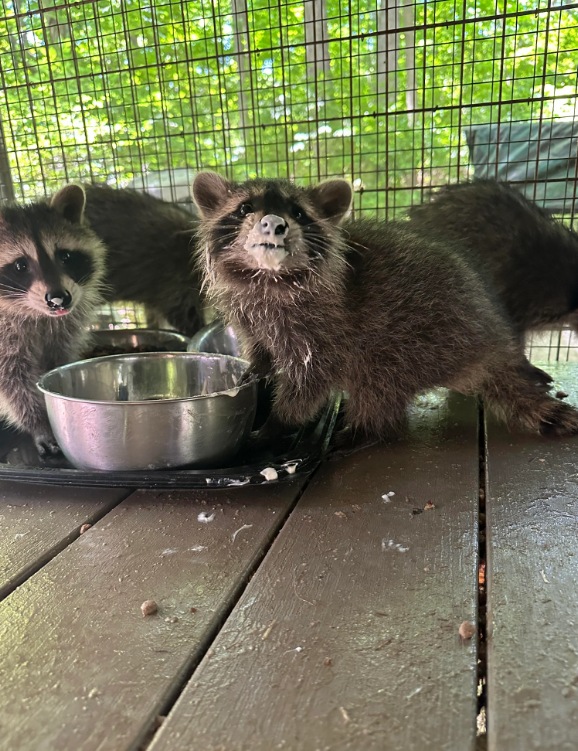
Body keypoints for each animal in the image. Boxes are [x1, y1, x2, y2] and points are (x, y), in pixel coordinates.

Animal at [0, 185, 106, 456]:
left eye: (65, 256)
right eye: (20, 265)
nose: (59, 299)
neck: (33, 313)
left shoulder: (64, 330)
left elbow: (57, 358)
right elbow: (12, 383)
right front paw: (38, 423)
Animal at [191, 170, 576, 440]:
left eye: (298, 213)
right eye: (245, 208)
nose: (274, 223)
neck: (269, 278)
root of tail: (491, 345)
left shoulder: (326, 329)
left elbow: (310, 383)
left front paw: (278, 422)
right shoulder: (248, 313)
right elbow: (259, 345)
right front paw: (257, 368)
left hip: (424, 337)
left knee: (378, 378)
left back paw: (362, 430)